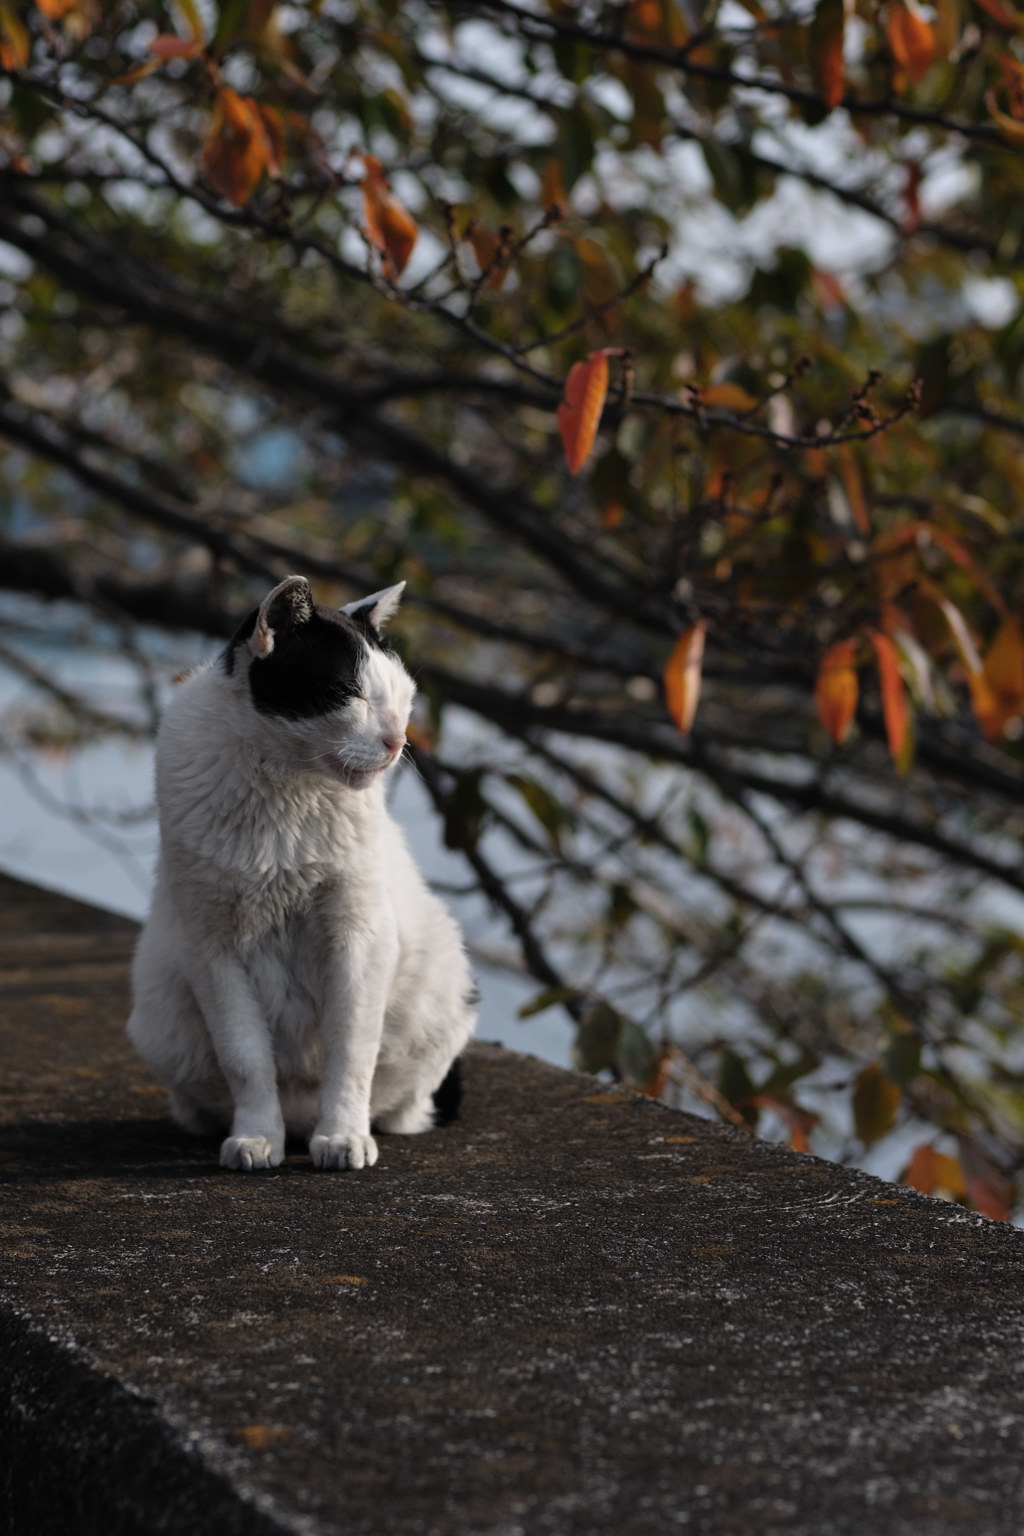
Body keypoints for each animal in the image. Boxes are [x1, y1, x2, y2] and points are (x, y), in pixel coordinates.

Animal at [127, 580, 475, 1167]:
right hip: (162, 1016)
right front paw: (254, 1137)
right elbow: (245, 1057)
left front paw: (344, 1138)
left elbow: (351, 1050)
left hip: (441, 992)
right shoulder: (212, 947)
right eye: (351, 693)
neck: (287, 785)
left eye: (404, 699)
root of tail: (299, 1118)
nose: (398, 742)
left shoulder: (360, 936)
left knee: (406, 1104)